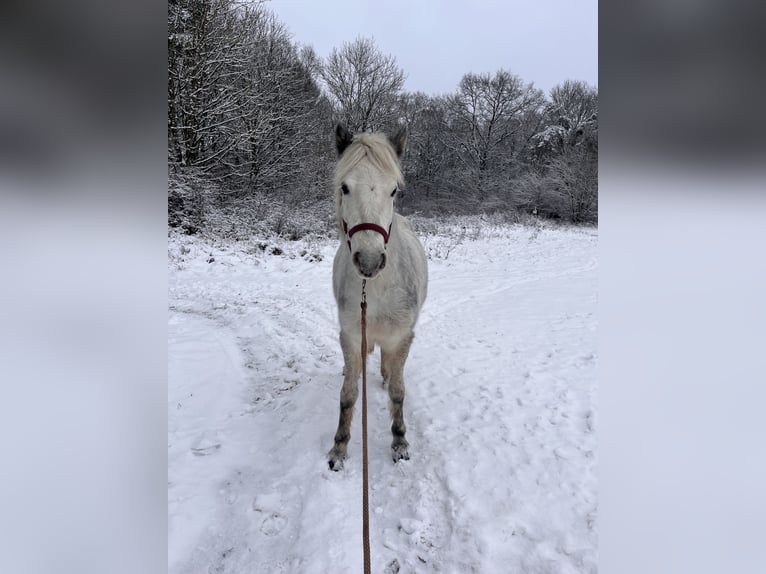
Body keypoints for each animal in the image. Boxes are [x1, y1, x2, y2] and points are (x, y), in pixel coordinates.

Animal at [327, 124, 428, 471]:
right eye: (345, 187)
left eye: (394, 190)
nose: (369, 261)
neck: (376, 289)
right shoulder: (350, 335)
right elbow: (347, 395)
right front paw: (339, 448)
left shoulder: (402, 336)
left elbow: (397, 391)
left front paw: (399, 442)